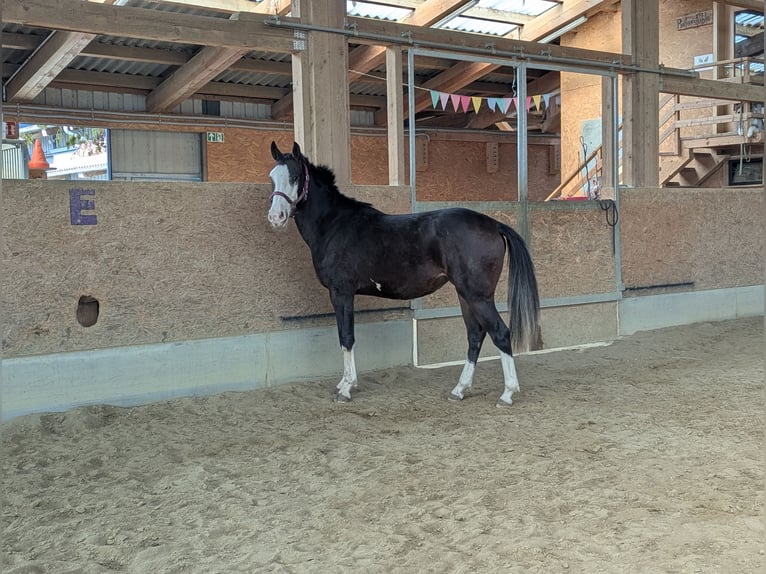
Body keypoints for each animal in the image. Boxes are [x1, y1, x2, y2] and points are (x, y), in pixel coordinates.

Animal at [268, 141, 540, 406]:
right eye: (272, 178)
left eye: (294, 177)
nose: (275, 217)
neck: (334, 225)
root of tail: (494, 224)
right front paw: (344, 383)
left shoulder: (341, 293)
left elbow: (346, 337)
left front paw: (346, 387)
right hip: (465, 295)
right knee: (475, 335)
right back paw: (459, 390)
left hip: (478, 297)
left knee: (500, 333)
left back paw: (507, 394)